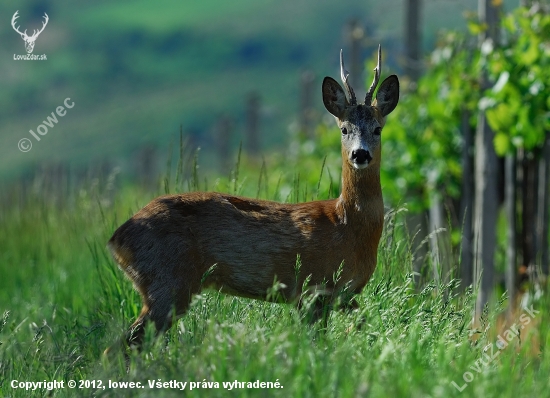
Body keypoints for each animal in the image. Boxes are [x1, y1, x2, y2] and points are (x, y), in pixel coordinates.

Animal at [105, 46, 402, 354]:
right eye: (344, 129)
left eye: (378, 129)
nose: (360, 154)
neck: (346, 224)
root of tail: (116, 238)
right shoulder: (312, 289)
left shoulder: (342, 295)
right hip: (167, 281)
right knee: (121, 346)